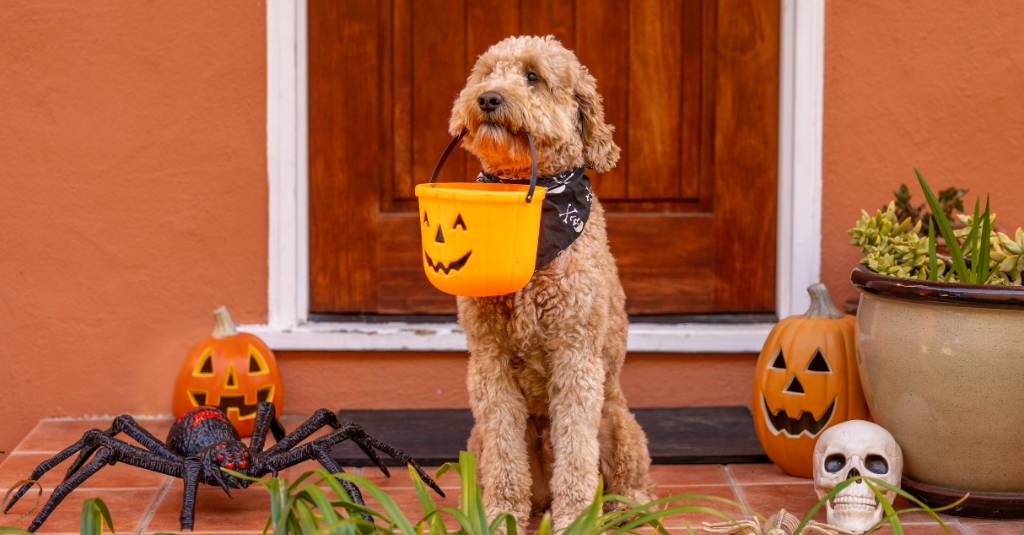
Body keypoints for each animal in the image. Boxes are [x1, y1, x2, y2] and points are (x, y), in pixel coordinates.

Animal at [448, 35, 655, 524]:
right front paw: (501, 516)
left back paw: (625, 506)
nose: (488, 98)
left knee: (626, 477)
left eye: (533, 77)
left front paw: (575, 519)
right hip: (476, 440)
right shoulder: (489, 361)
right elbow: (505, 454)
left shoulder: (575, 356)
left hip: (618, 422)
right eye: (487, 73)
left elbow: (577, 451)